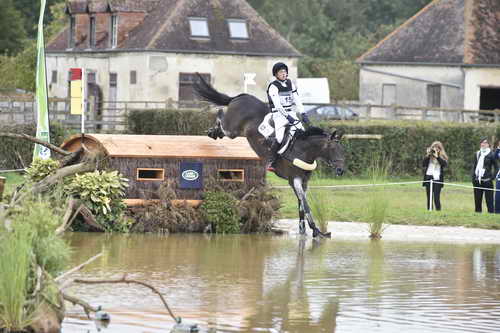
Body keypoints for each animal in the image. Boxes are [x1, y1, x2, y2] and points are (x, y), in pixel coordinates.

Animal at [193, 75, 346, 236]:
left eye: (342, 150)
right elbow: (305, 205)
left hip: (234, 132)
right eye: (332, 148)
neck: (303, 150)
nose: (340, 170)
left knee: (222, 130)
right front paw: (316, 231)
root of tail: (241, 97)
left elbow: (301, 206)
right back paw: (215, 124)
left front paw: (304, 231)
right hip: (232, 130)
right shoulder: (295, 180)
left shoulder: (303, 182)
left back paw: (214, 132)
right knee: (222, 120)